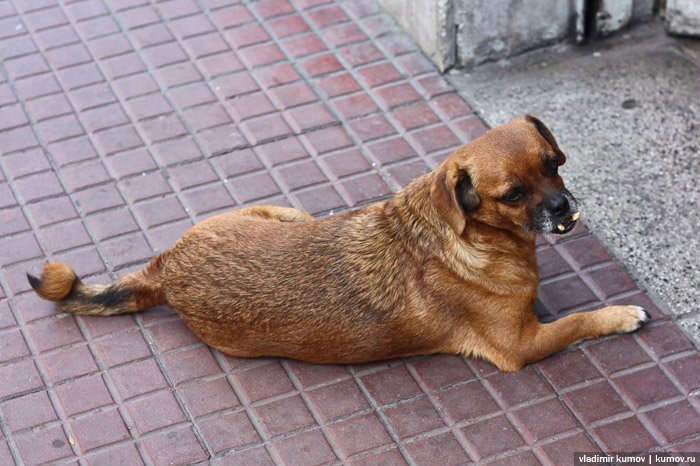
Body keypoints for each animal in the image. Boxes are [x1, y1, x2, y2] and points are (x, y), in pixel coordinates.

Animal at [28, 115, 652, 372]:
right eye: (514, 194)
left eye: (554, 164)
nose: (564, 206)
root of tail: (166, 266)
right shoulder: (522, 347)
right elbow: (578, 322)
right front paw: (620, 314)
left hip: (288, 211)